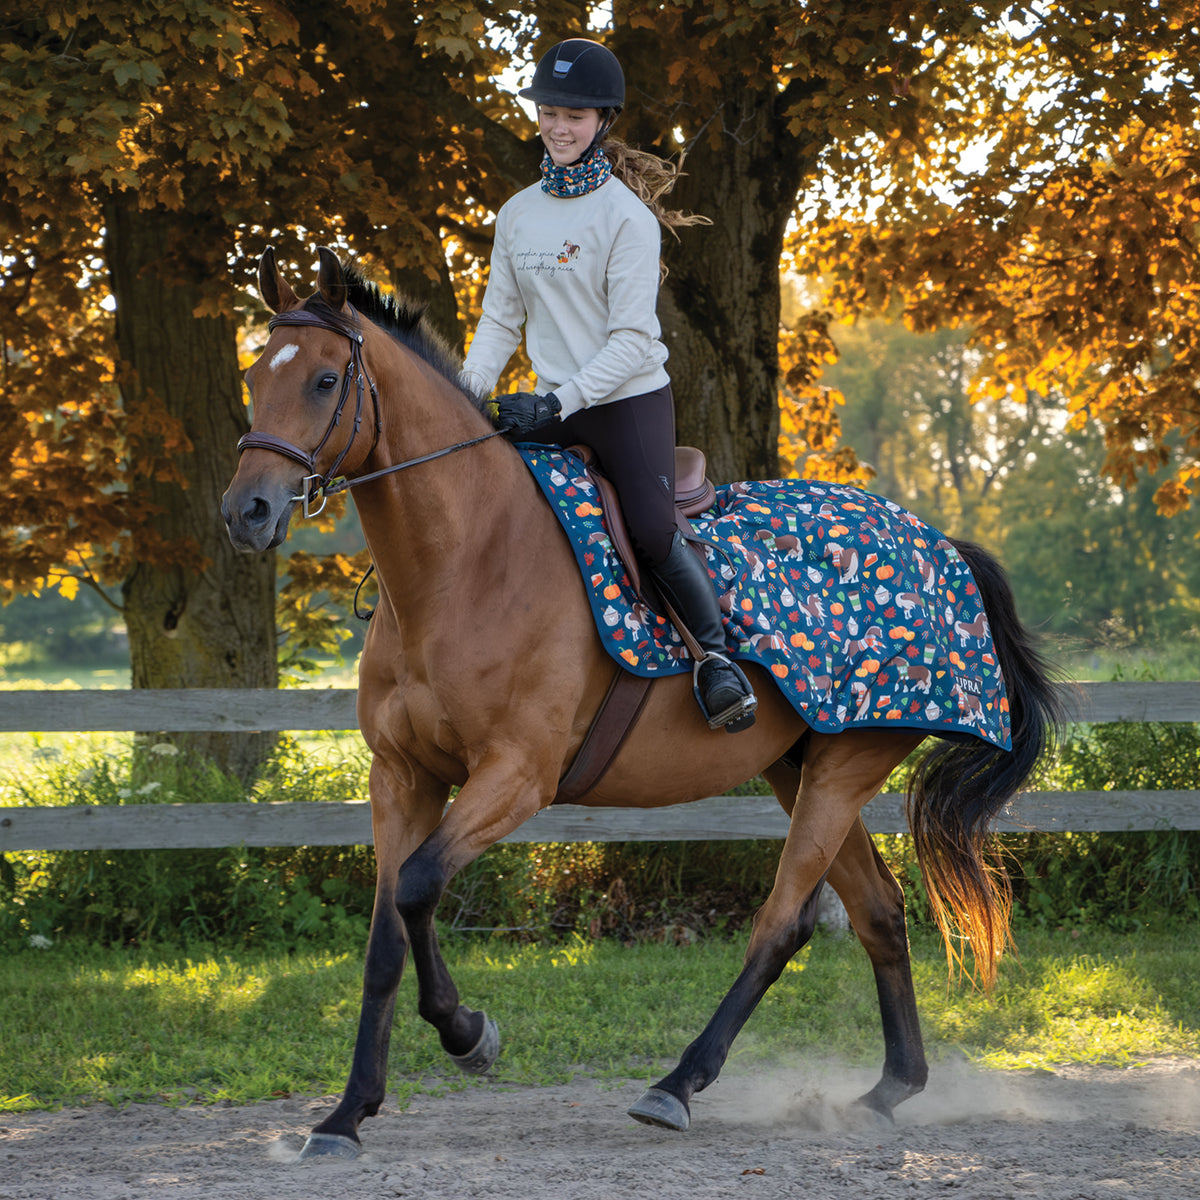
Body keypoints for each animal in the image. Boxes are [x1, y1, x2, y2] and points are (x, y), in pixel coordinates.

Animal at [221, 247, 1062, 1160]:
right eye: (255, 377)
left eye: (325, 380)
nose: (245, 512)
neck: (463, 563)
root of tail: (940, 544)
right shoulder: (402, 776)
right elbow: (384, 937)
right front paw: (346, 1113)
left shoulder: (516, 777)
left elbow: (414, 889)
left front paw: (468, 1033)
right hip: (802, 767)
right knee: (877, 911)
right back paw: (886, 1091)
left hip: (845, 767)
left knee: (782, 923)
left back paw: (677, 1085)